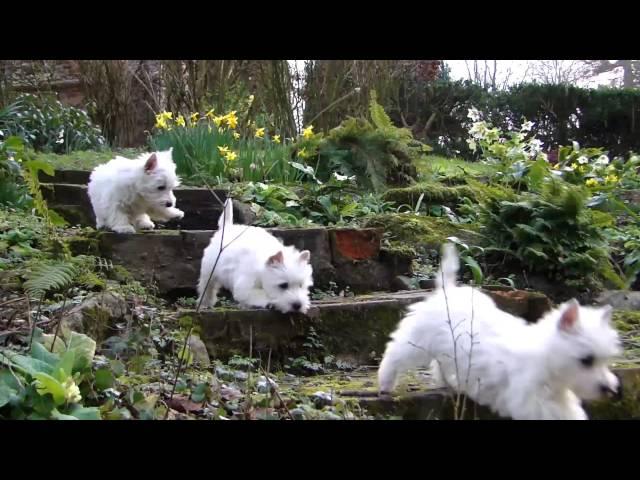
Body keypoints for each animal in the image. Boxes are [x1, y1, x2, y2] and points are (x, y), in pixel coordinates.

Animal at [378, 244, 624, 420]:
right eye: (586, 360)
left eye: (605, 360)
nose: (610, 390)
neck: (545, 357)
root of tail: (447, 291)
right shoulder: (531, 400)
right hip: (417, 341)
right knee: (394, 355)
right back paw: (385, 384)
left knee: (439, 365)